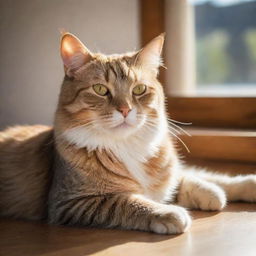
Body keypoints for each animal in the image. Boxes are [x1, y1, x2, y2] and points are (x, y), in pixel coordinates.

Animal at [0, 32, 256, 234]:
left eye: (139, 89)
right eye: (100, 89)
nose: (125, 110)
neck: (127, 145)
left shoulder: (171, 172)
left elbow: (197, 176)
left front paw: (226, 189)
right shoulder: (72, 202)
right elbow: (129, 202)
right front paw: (169, 212)